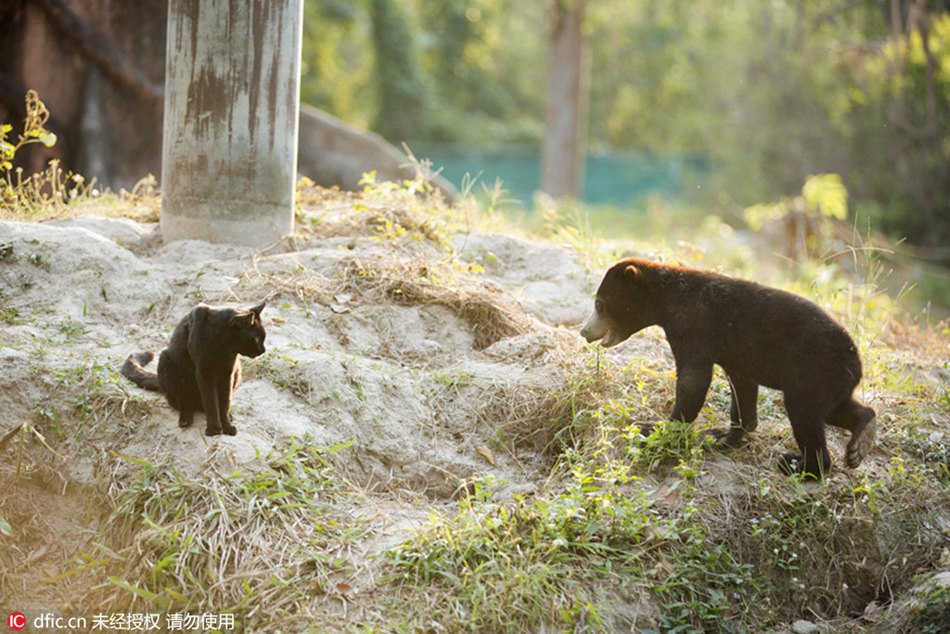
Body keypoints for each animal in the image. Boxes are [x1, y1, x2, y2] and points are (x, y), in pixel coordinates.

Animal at [121, 302, 268, 434]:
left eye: (263, 338)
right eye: (256, 338)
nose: (263, 350)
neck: (222, 347)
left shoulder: (227, 372)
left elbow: (224, 401)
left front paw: (227, 427)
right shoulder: (204, 372)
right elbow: (210, 401)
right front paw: (214, 429)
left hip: (237, 372)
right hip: (167, 362)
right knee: (183, 402)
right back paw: (185, 420)